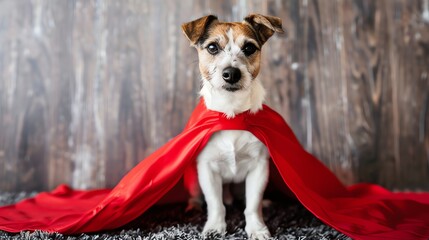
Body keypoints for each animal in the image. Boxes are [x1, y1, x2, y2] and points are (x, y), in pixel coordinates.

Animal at [181, 14, 284, 239]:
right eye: (212, 47)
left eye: (249, 48)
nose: (231, 73)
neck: (232, 114)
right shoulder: (207, 168)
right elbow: (215, 203)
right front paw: (214, 227)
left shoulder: (259, 167)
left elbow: (252, 205)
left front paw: (257, 229)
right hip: (193, 180)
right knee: (199, 197)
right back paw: (193, 207)